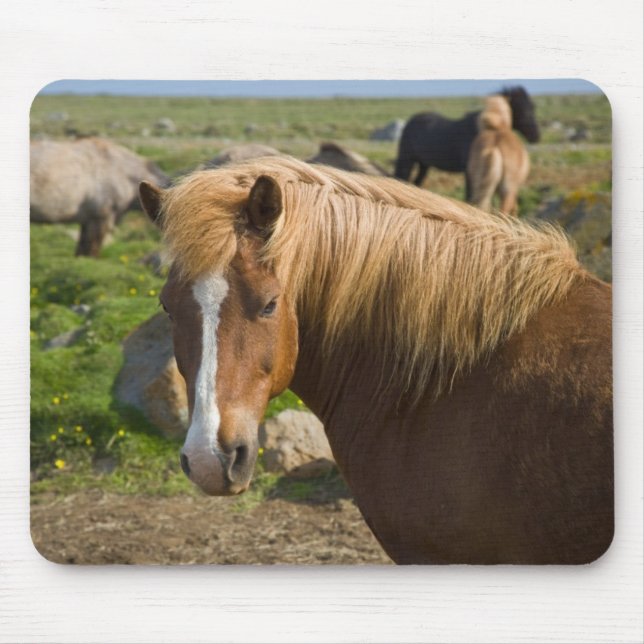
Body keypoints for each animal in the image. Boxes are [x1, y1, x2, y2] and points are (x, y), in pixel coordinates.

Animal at [394, 86, 539, 198]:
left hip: (424, 164)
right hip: (407, 160)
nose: (536, 136)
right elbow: (469, 195)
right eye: (522, 110)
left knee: (416, 182)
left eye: (533, 107)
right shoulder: (470, 172)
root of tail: (411, 121)